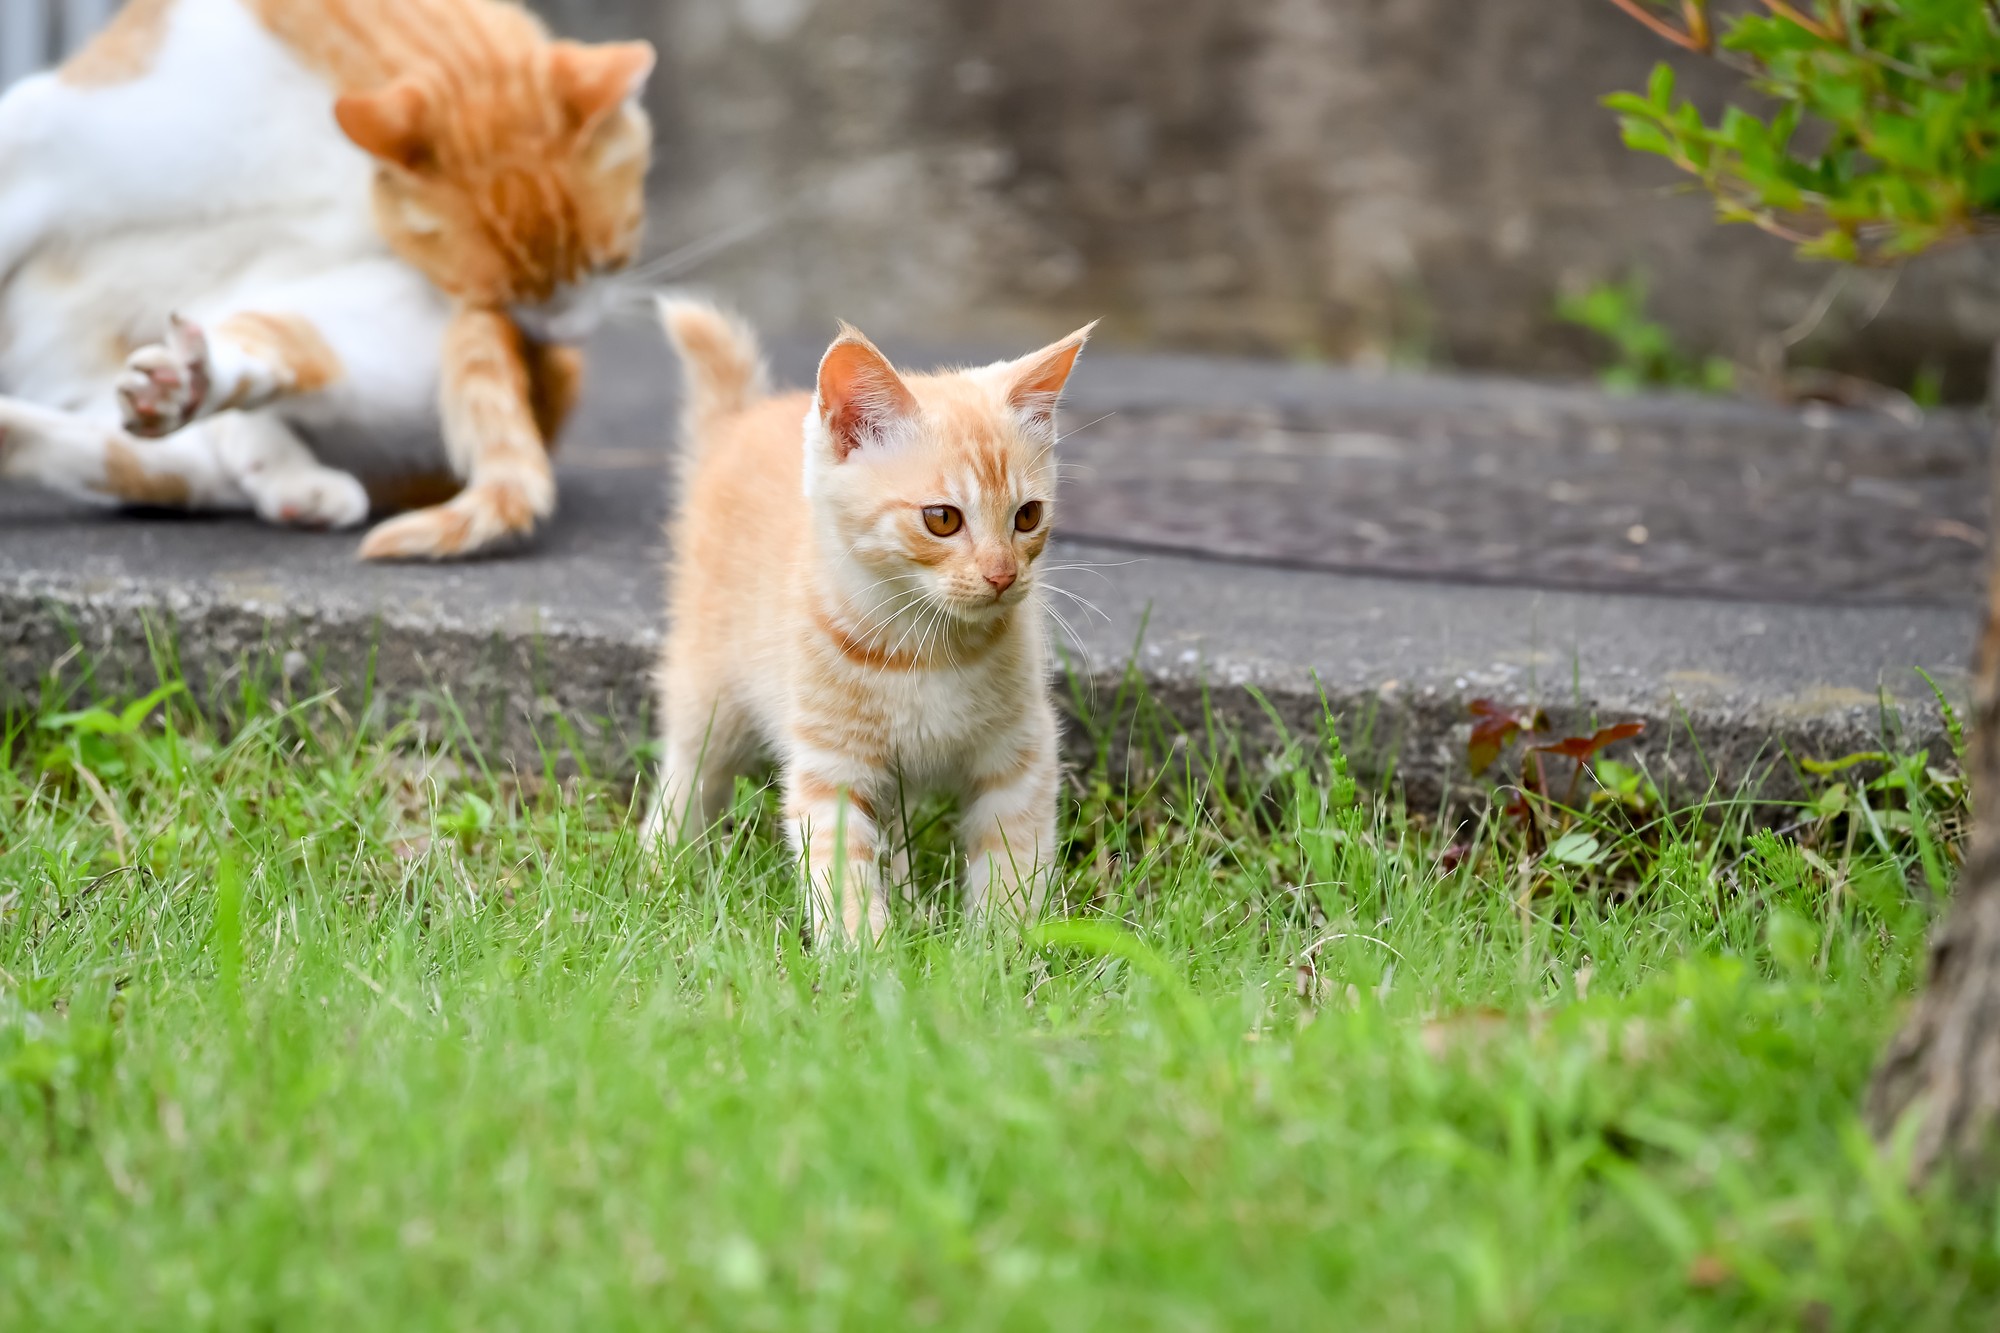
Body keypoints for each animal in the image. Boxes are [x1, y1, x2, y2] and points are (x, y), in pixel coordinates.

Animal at [0, 0, 656, 556]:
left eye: (608, 264)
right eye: (502, 293)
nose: (564, 335)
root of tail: (544, 384)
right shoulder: (38, 150)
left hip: (324, 335)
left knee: (216, 423)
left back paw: (204, 406)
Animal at [644, 298, 1096, 944]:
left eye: (1028, 516)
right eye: (941, 519)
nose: (1003, 575)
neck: (928, 646)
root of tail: (742, 418)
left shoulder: (1019, 753)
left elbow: (1014, 856)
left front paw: (999, 947)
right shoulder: (829, 764)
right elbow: (842, 867)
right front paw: (865, 953)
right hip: (709, 684)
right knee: (691, 764)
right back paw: (662, 860)